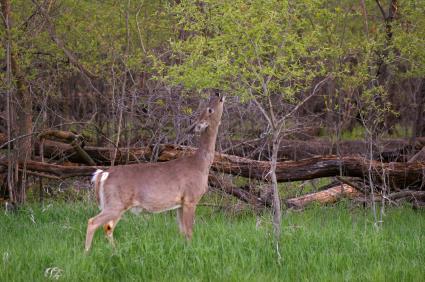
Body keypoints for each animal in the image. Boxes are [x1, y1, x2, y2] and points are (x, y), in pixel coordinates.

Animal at [83, 92, 225, 251]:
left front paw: (184, 249)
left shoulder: (180, 203)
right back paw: (87, 253)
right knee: (93, 222)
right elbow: (189, 231)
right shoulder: (191, 198)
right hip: (116, 202)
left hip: (115, 203)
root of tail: (103, 174)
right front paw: (191, 250)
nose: (221, 95)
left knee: (108, 227)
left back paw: (115, 250)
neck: (200, 164)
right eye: (209, 109)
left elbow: (182, 231)